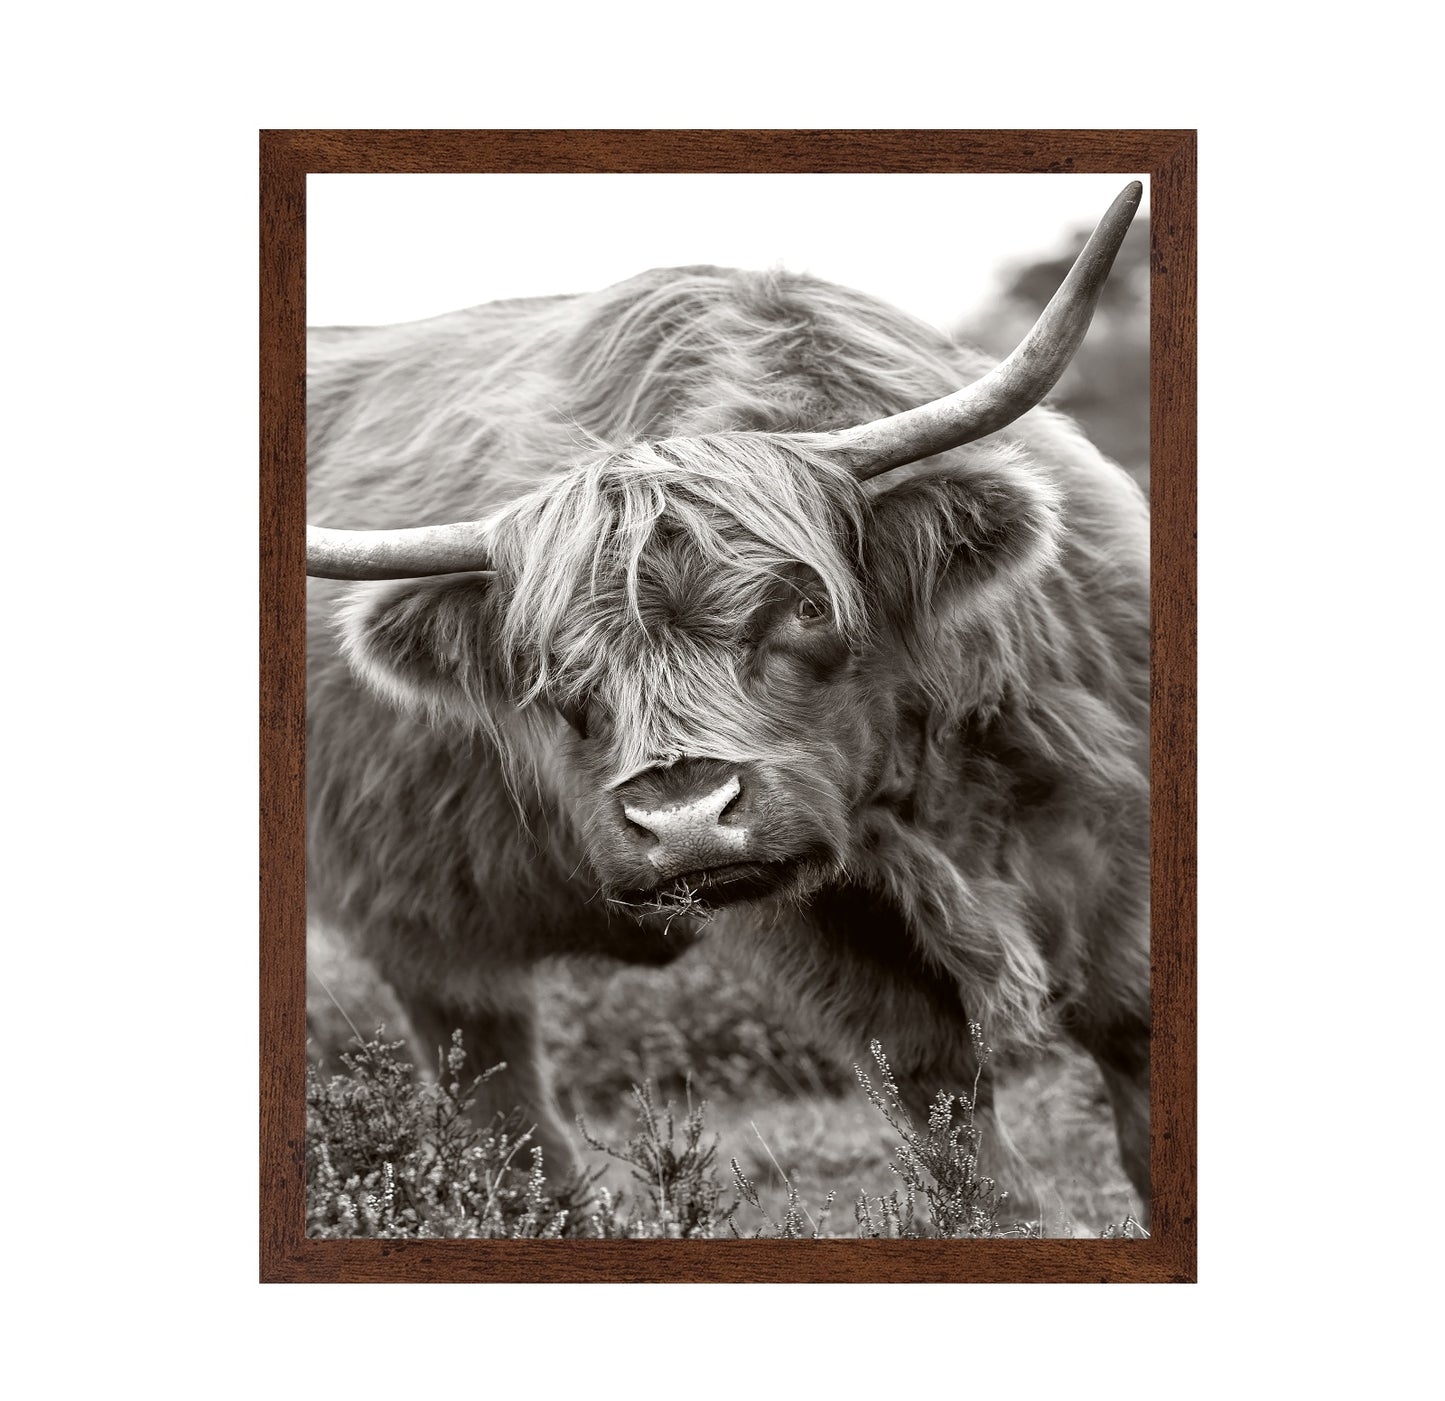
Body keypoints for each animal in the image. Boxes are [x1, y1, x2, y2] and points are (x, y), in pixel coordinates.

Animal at [305, 183, 1151, 1221]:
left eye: (804, 606)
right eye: (551, 664)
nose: (683, 820)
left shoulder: (1110, 826)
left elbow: (1132, 1040)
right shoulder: (828, 929)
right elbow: (945, 1105)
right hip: (418, 919)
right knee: (499, 1094)